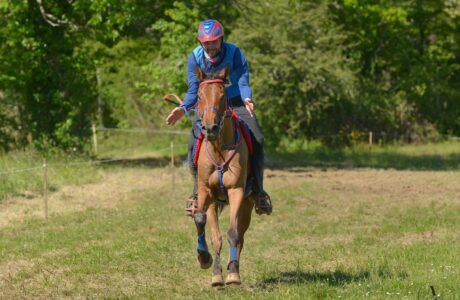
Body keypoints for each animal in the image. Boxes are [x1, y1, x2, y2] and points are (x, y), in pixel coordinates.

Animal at [191, 65, 255, 286]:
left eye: (222, 95)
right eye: (199, 96)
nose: (210, 128)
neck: (219, 148)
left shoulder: (236, 191)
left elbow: (233, 234)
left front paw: (233, 274)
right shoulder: (206, 192)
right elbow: (206, 227)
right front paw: (208, 263)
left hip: (247, 204)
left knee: (241, 236)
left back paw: (233, 267)